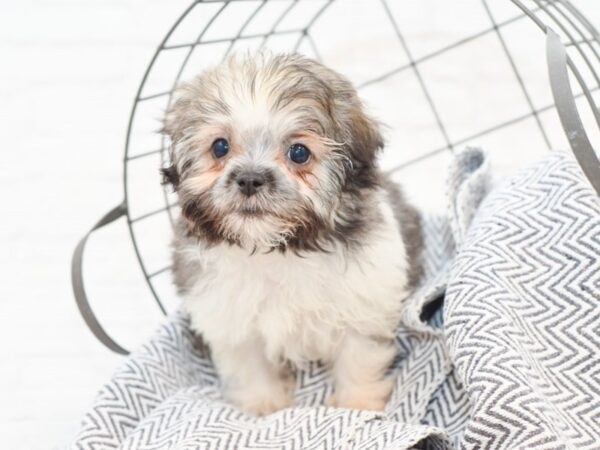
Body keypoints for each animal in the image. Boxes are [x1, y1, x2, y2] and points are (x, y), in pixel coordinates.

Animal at [159, 51, 422, 414]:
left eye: (299, 153)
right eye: (220, 147)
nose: (250, 179)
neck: (278, 247)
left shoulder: (366, 299)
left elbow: (358, 356)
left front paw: (358, 403)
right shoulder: (229, 318)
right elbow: (249, 364)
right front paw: (263, 405)